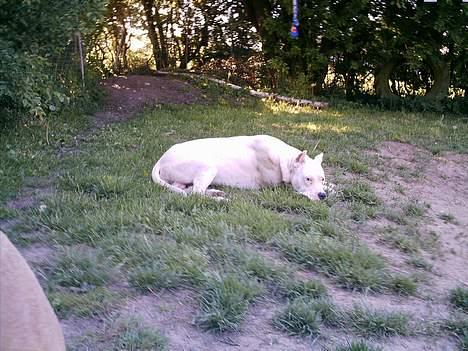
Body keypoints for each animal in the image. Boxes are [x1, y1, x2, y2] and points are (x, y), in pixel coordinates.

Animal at [152, 135, 328, 201]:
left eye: (322, 179)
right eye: (307, 179)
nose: (322, 195)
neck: (285, 158)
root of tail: (160, 159)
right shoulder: (276, 187)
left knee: (187, 189)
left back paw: (215, 192)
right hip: (209, 167)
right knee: (196, 194)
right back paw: (219, 199)